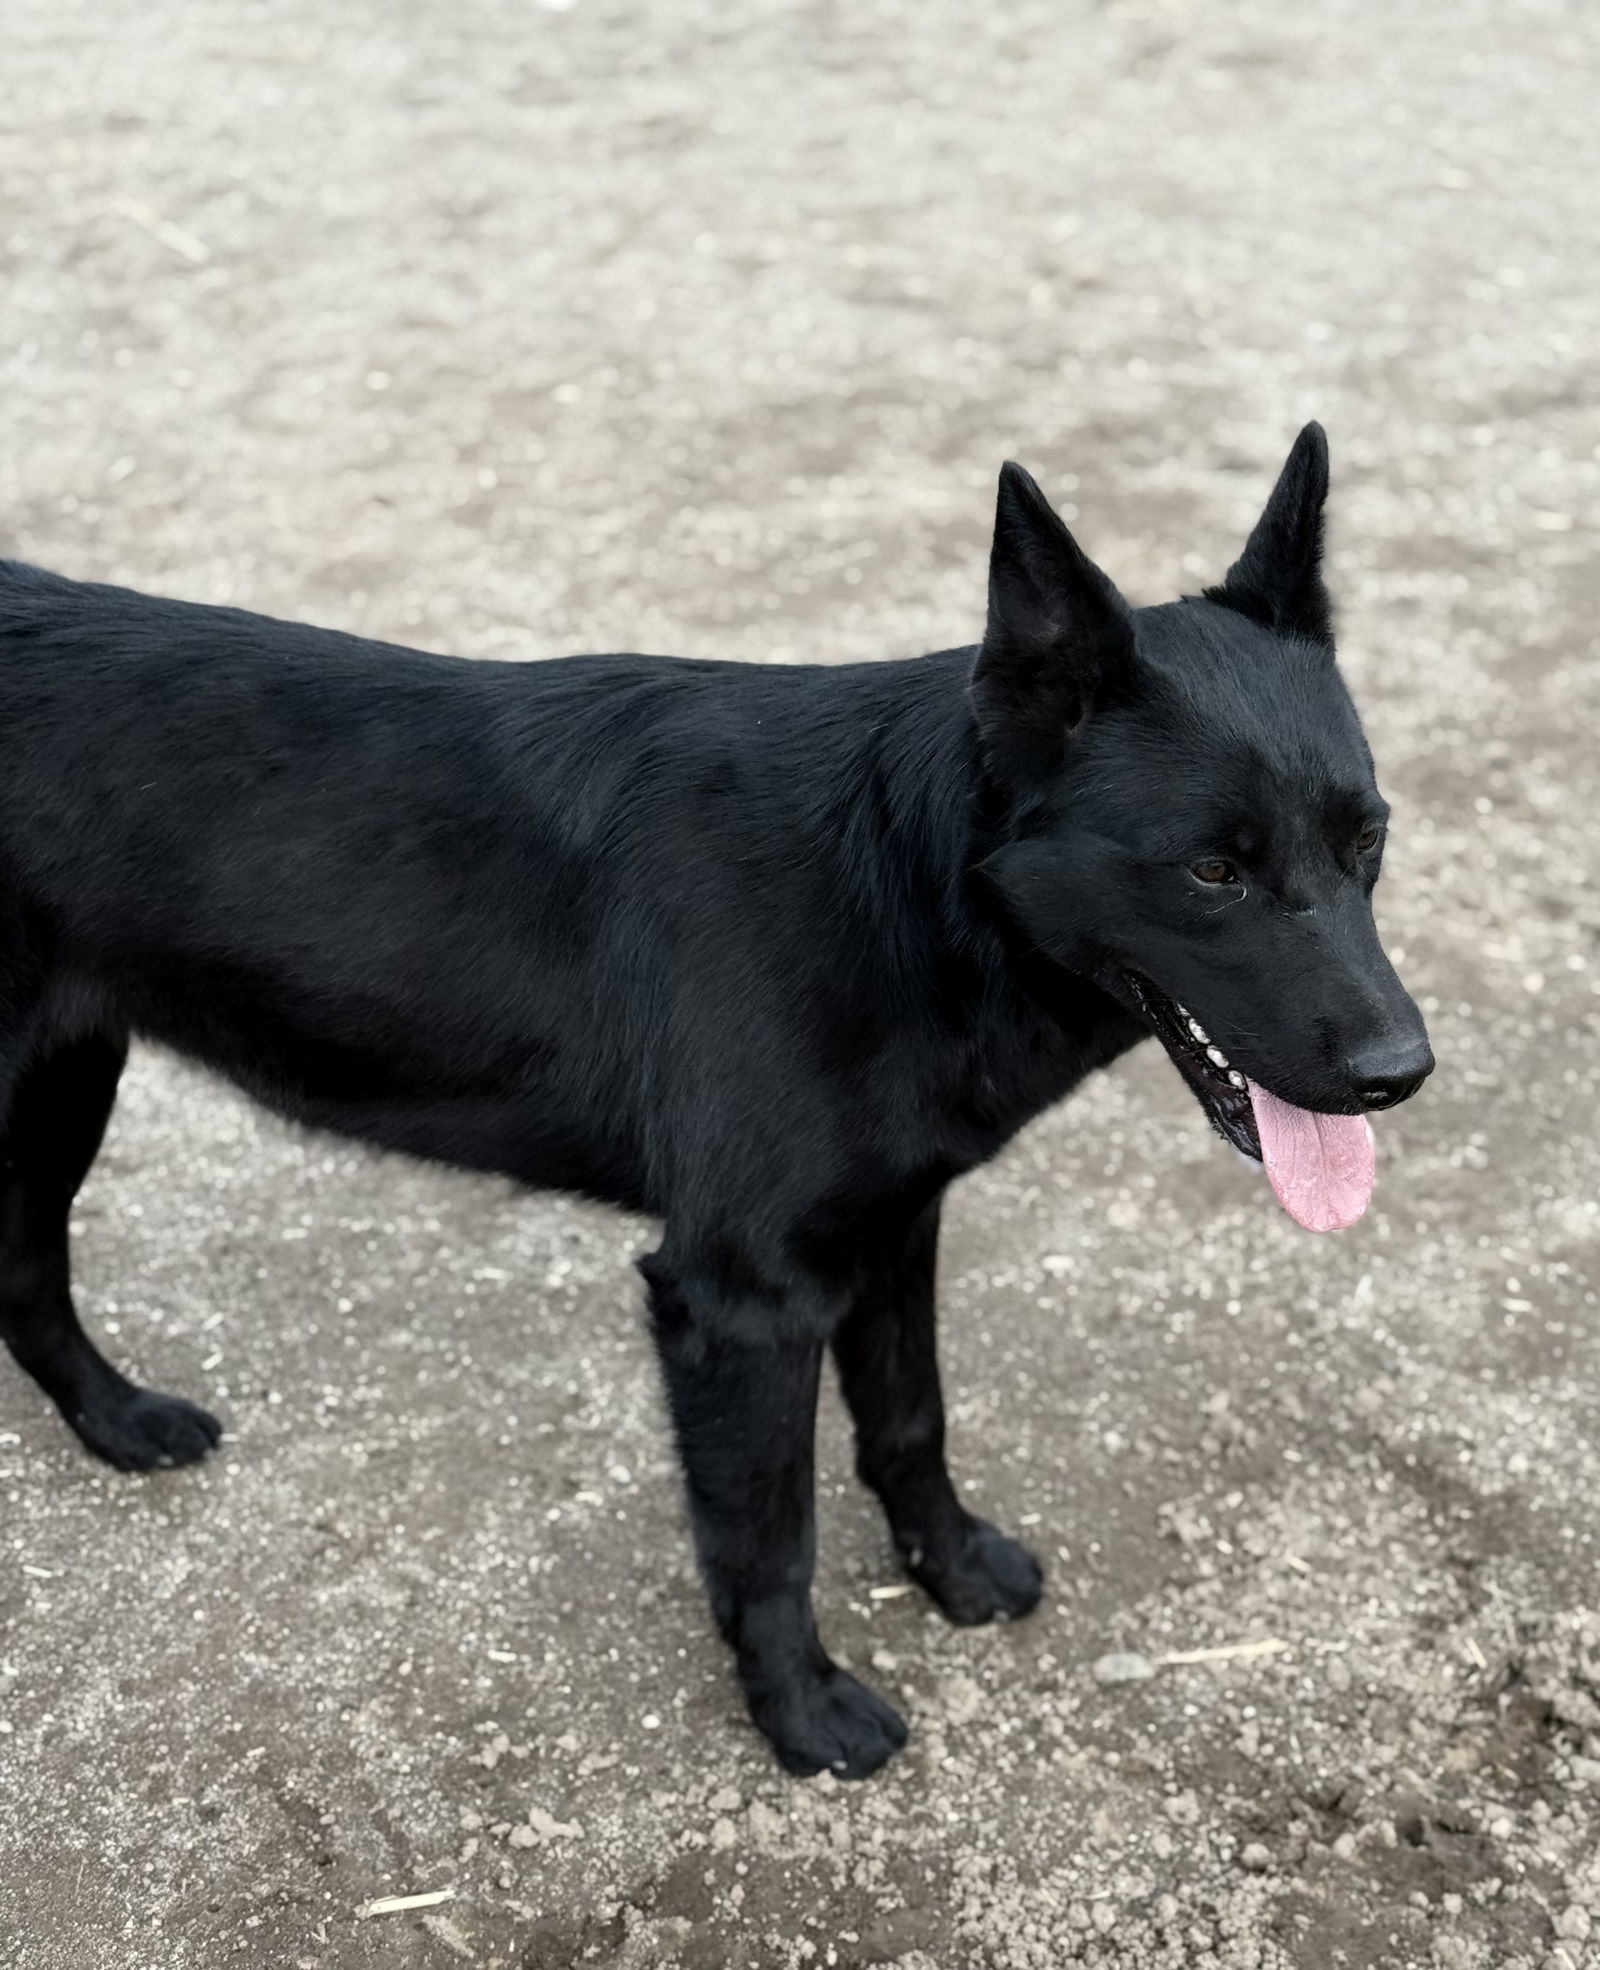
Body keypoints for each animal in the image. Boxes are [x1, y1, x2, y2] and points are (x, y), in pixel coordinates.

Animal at [0, 435, 1426, 1788]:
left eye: (1366, 842)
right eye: (1211, 870)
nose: (1401, 1072)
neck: (898, 881)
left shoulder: (891, 1232)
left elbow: (909, 1421)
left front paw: (952, 1569)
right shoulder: (738, 1300)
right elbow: (768, 1534)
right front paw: (801, 1711)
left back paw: (116, 1427)